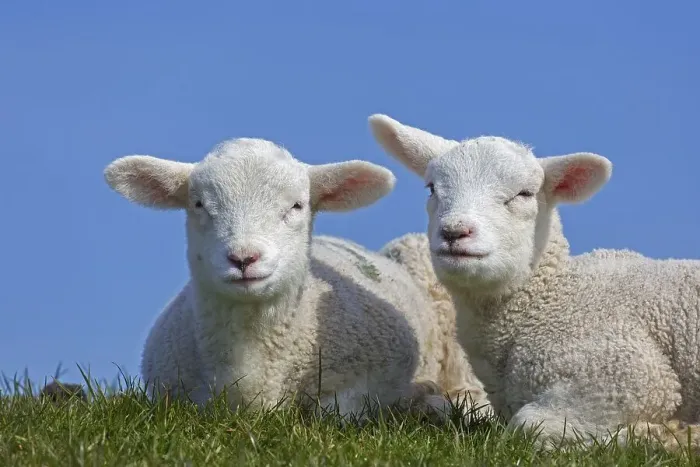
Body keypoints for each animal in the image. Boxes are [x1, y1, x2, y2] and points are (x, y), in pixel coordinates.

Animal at [104, 137, 488, 423]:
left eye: (296, 206)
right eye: (198, 204)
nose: (244, 258)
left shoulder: (374, 376)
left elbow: (331, 413)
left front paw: (414, 399)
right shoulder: (169, 394)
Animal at [368, 113, 700, 450]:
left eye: (525, 194)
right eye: (432, 188)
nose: (454, 231)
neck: (550, 298)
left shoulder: (626, 375)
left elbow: (527, 426)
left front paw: (657, 435)